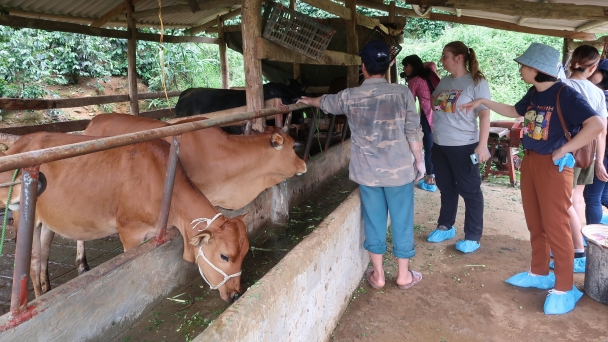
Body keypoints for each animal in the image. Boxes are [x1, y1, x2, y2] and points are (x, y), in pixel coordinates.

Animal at [0, 131, 249, 302]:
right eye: (225, 256)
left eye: (245, 252)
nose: (236, 294)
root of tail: (18, 144)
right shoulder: (130, 231)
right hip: (23, 215)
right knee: (32, 264)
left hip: (48, 220)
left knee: (43, 254)